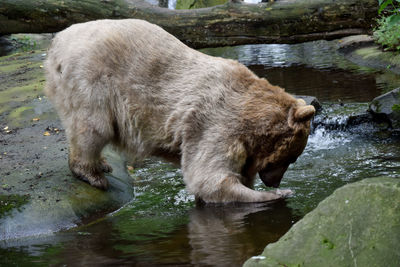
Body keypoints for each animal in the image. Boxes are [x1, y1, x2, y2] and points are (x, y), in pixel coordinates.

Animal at [44, 18, 316, 203]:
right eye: (292, 157)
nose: (274, 181)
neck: (250, 113)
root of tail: (57, 42)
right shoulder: (216, 120)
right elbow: (209, 176)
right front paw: (278, 194)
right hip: (91, 79)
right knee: (93, 127)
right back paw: (93, 174)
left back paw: (103, 164)